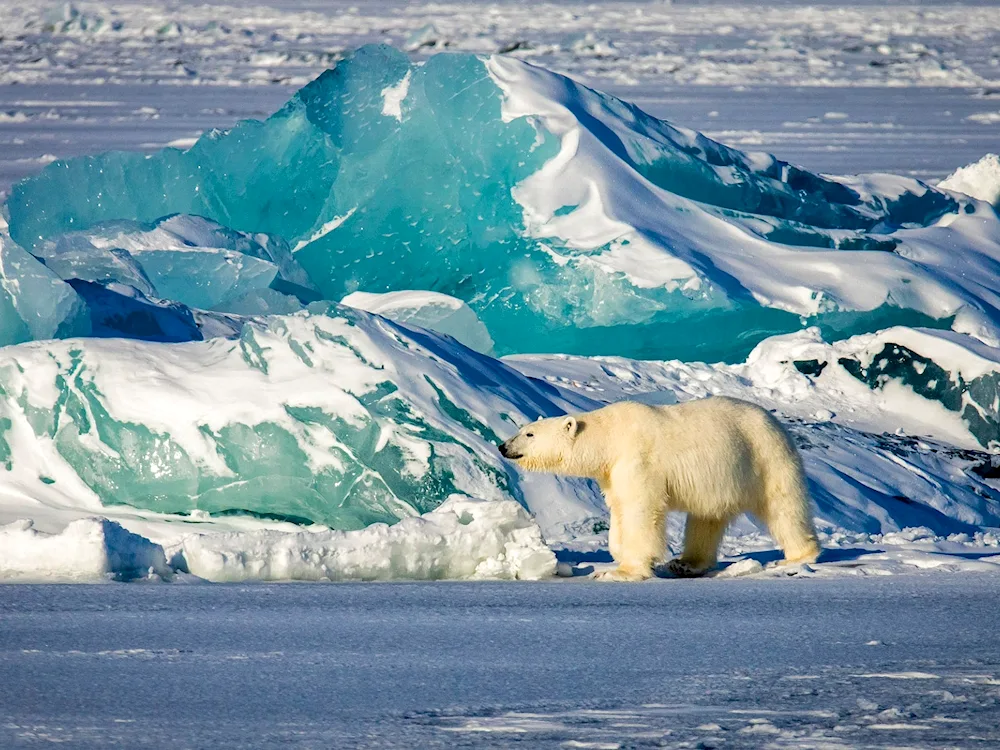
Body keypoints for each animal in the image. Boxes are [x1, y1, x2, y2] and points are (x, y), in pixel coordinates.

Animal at [500, 396, 820, 584]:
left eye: (529, 434)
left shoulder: (638, 460)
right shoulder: (613, 472)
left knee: (783, 506)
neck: (610, 437)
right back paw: (686, 563)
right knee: (705, 519)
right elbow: (619, 507)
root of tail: (776, 422)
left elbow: (639, 509)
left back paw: (798, 556)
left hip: (764, 458)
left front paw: (619, 571)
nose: (503, 447)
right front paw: (616, 554)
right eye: (522, 429)